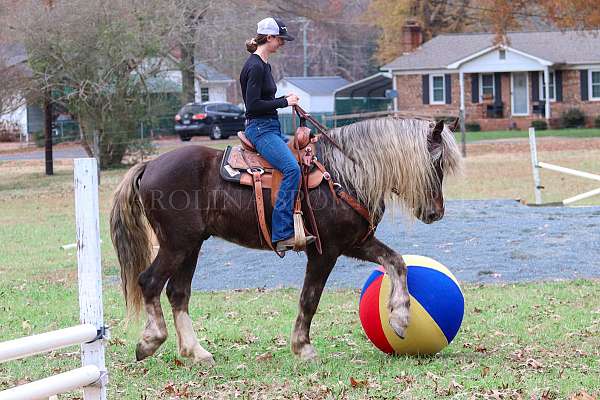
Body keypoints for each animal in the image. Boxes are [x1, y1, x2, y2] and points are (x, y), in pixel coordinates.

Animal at [109, 116, 464, 366]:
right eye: (436, 163)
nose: (436, 212)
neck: (345, 173)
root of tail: (150, 165)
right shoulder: (325, 252)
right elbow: (310, 299)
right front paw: (303, 348)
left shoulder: (355, 243)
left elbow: (396, 262)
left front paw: (400, 317)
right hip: (176, 245)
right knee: (150, 282)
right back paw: (151, 340)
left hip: (191, 246)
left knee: (178, 293)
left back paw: (196, 352)